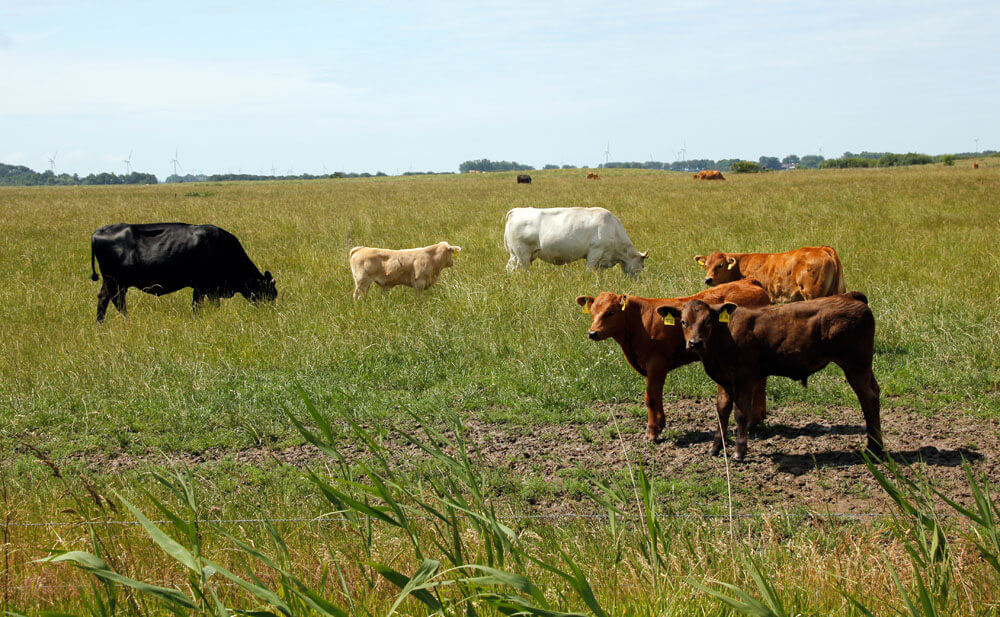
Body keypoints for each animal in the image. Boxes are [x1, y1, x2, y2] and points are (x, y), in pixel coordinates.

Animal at [89, 223, 276, 322]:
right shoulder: (204, 287)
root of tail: (99, 232)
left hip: (116, 283)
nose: (269, 311)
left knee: (112, 300)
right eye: (268, 292)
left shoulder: (205, 289)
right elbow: (200, 305)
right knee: (110, 299)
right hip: (114, 281)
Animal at [504, 207, 648, 274]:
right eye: (642, 266)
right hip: (522, 255)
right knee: (521, 270)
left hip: (516, 255)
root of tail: (516, 210)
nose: (636, 282)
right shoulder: (595, 252)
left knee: (510, 268)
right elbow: (588, 271)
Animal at [575, 279, 771, 446]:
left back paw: (753, 421)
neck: (638, 322)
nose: (592, 333)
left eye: (611, 312)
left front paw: (651, 432)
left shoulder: (656, 362)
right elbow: (657, 394)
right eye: (592, 313)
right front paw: (660, 424)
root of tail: (748, 281)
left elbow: (651, 396)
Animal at [658, 292, 882, 461]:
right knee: (875, 393)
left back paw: (874, 448)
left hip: (855, 365)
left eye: (708, 321)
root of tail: (849, 296)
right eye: (684, 322)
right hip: (863, 367)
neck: (725, 335)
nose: (695, 343)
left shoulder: (745, 378)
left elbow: (740, 413)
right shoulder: (724, 380)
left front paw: (739, 452)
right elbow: (722, 411)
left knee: (868, 398)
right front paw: (715, 448)